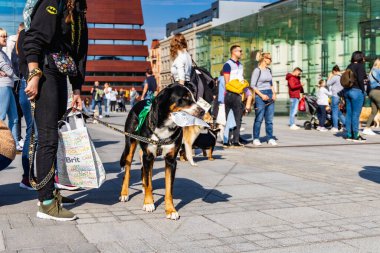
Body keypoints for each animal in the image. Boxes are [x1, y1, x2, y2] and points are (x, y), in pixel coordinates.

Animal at [119, 83, 205, 219]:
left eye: (193, 97)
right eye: (185, 98)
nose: (202, 111)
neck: (165, 127)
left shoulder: (171, 160)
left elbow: (169, 188)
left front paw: (171, 210)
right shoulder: (148, 156)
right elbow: (148, 181)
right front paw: (148, 203)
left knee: (145, 171)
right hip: (130, 144)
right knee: (128, 170)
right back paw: (125, 193)